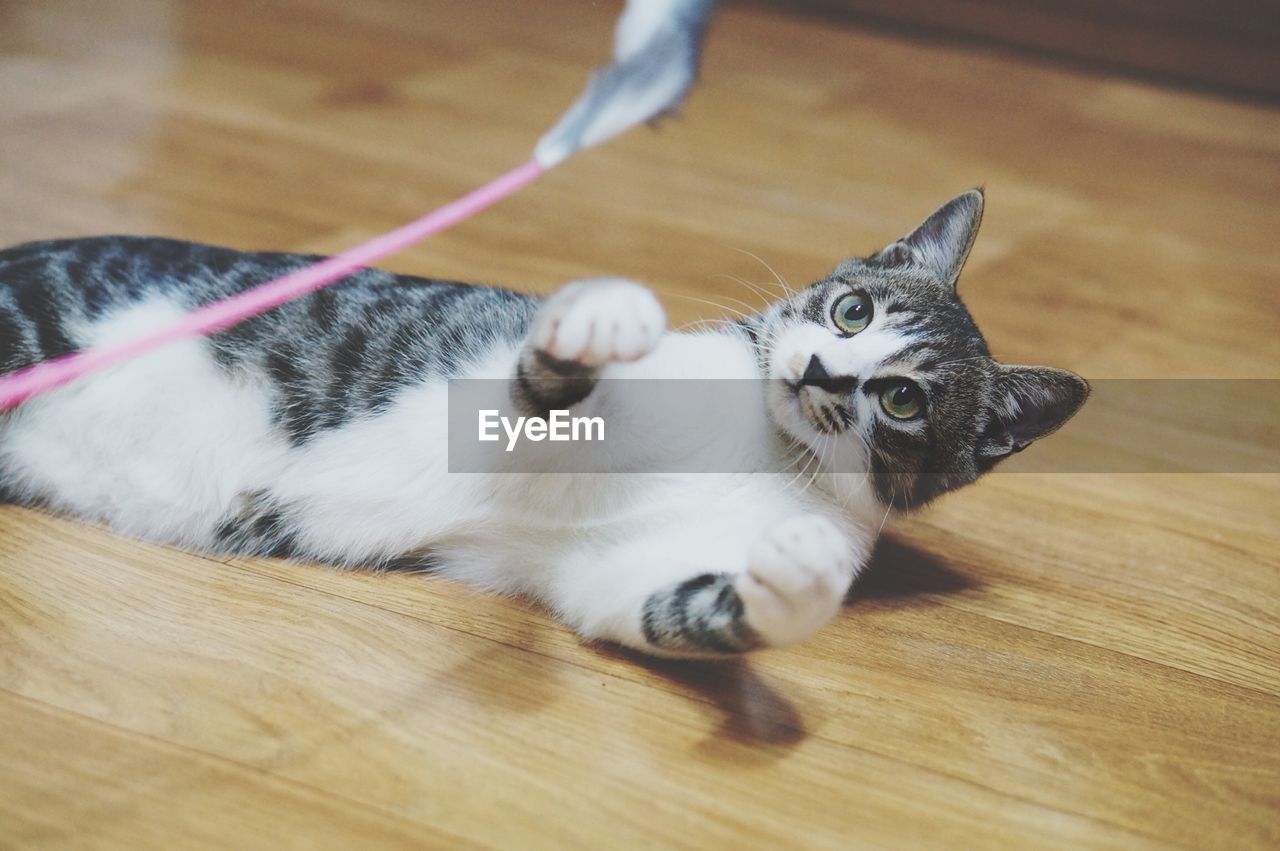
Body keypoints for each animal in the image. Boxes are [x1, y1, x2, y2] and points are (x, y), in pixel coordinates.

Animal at [0, 190, 1085, 655]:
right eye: (852, 310)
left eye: (901, 399)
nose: (821, 365)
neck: (765, 452)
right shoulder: (498, 405)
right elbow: (544, 386)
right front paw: (596, 325)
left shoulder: (618, 571)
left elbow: (676, 606)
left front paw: (796, 585)